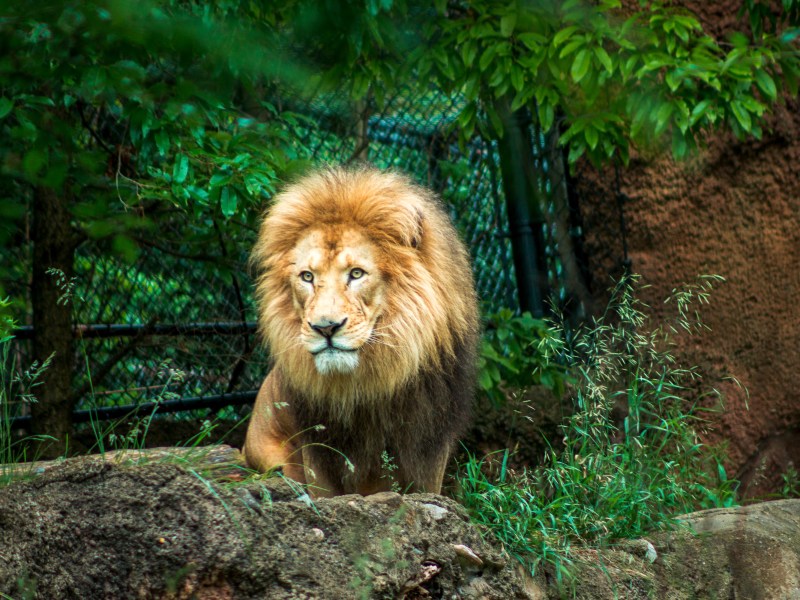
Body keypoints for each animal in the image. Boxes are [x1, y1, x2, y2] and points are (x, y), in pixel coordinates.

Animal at [244, 165, 478, 496]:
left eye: (356, 274)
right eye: (307, 277)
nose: (325, 327)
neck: (367, 384)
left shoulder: (430, 444)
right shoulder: (319, 448)